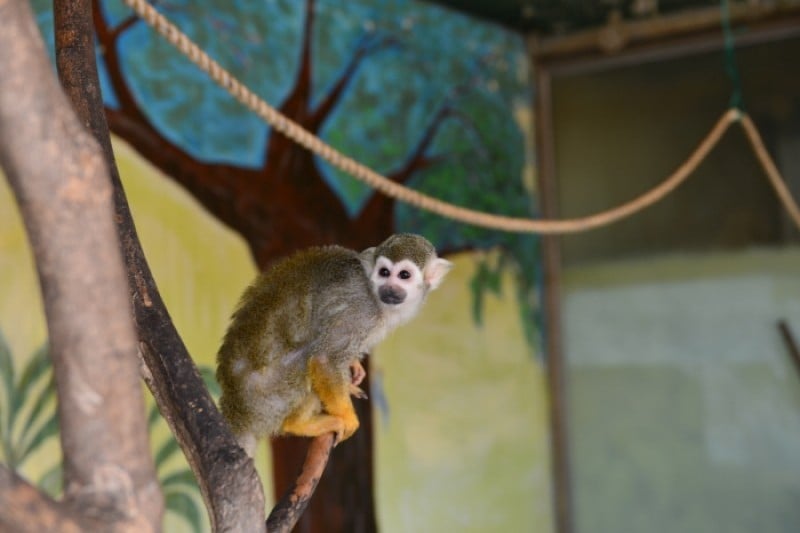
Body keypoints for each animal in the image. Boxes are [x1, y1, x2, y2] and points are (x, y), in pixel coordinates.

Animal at [216, 233, 452, 456]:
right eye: (384, 272)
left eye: (404, 275)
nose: (389, 288)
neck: (375, 295)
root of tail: (236, 409)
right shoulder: (360, 311)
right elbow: (324, 358)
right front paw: (348, 418)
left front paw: (354, 366)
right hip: (268, 397)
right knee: (308, 355)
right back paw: (298, 424)